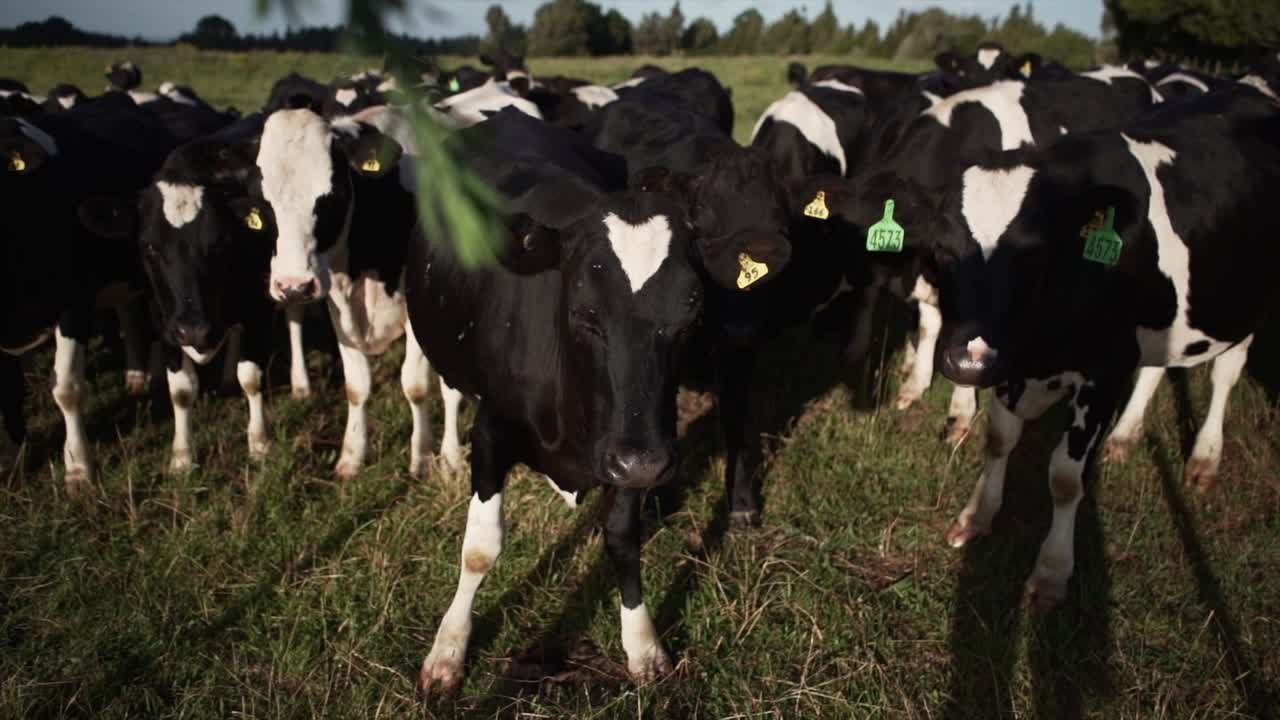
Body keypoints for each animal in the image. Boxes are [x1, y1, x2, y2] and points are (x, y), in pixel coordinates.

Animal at [405, 107, 789, 694]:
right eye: (585, 313)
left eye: (692, 309)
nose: (644, 461)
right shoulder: (493, 431)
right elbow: (480, 548)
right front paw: (449, 647)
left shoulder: (631, 442)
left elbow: (624, 537)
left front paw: (643, 644)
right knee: (438, 384)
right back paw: (439, 454)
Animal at [929, 82, 1280, 611]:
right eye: (943, 247)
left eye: (1032, 251)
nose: (967, 362)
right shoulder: (1014, 363)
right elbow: (999, 439)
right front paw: (977, 516)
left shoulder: (1103, 371)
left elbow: (1064, 477)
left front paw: (1051, 573)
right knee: (1159, 366)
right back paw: (1125, 436)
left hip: (1248, 303)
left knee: (1225, 373)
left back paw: (1204, 457)